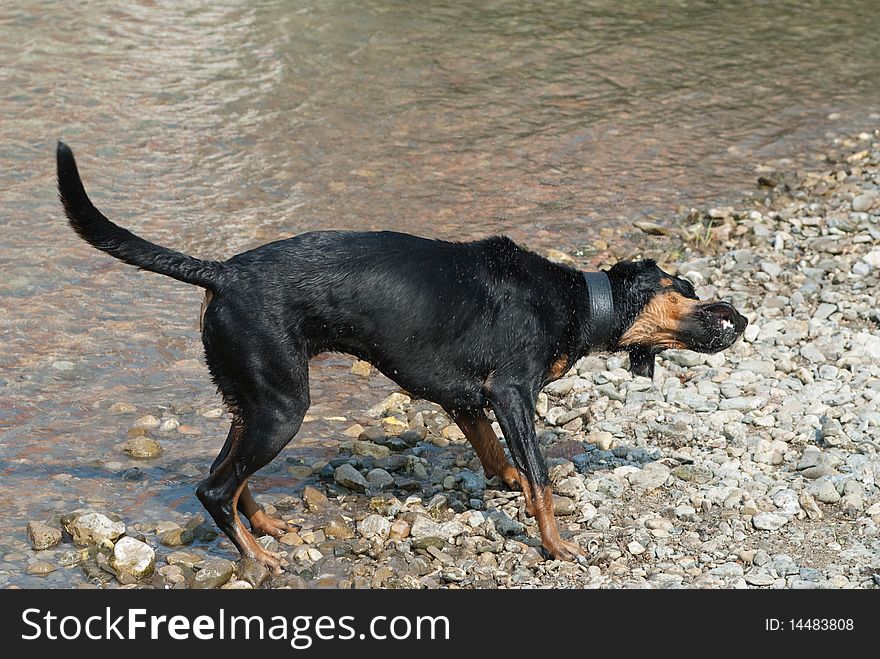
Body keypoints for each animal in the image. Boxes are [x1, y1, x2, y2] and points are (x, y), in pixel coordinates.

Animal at [56, 142, 744, 568]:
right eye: (687, 288)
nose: (739, 316)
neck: (579, 299)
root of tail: (220, 272)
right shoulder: (511, 393)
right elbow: (541, 478)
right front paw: (556, 545)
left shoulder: (467, 400)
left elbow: (495, 456)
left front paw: (506, 482)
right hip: (282, 406)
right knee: (211, 487)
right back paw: (259, 558)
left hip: (256, 397)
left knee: (230, 475)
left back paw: (266, 526)